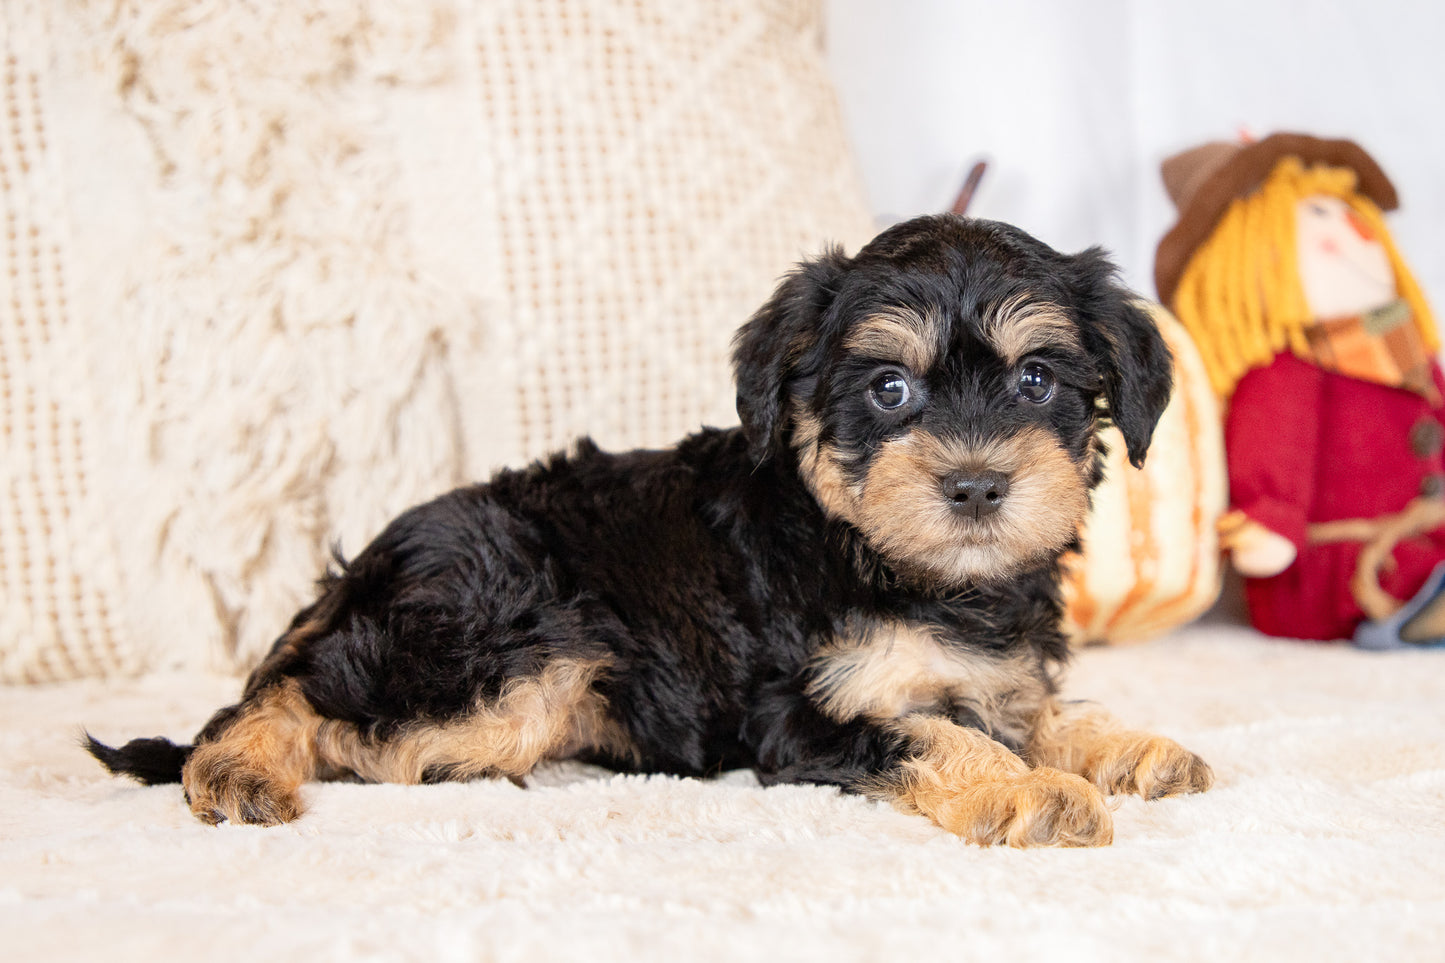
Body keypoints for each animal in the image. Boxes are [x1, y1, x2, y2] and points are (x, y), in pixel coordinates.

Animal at [87, 214, 1208, 844]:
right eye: (888, 388)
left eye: (1035, 380)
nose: (975, 487)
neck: (889, 562)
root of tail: (363, 568)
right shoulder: (797, 710)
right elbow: (932, 731)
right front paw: (1028, 794)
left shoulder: (999, 669)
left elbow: (1035, 710)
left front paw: (1130, 748)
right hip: (513, 649)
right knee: (302, 701)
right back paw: (237, 768)